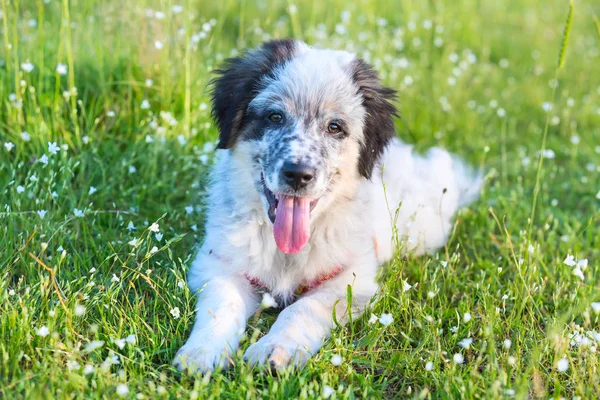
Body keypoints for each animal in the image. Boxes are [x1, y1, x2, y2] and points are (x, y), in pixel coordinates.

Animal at [173, 39, 482, 374]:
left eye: (335, 127)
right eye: (275, 117)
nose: (298, 174)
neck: (286, 253)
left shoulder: (350, 280)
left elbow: (303, 307)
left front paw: (275, 347)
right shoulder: (219, 263)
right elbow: (222, 303)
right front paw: (203, 351)